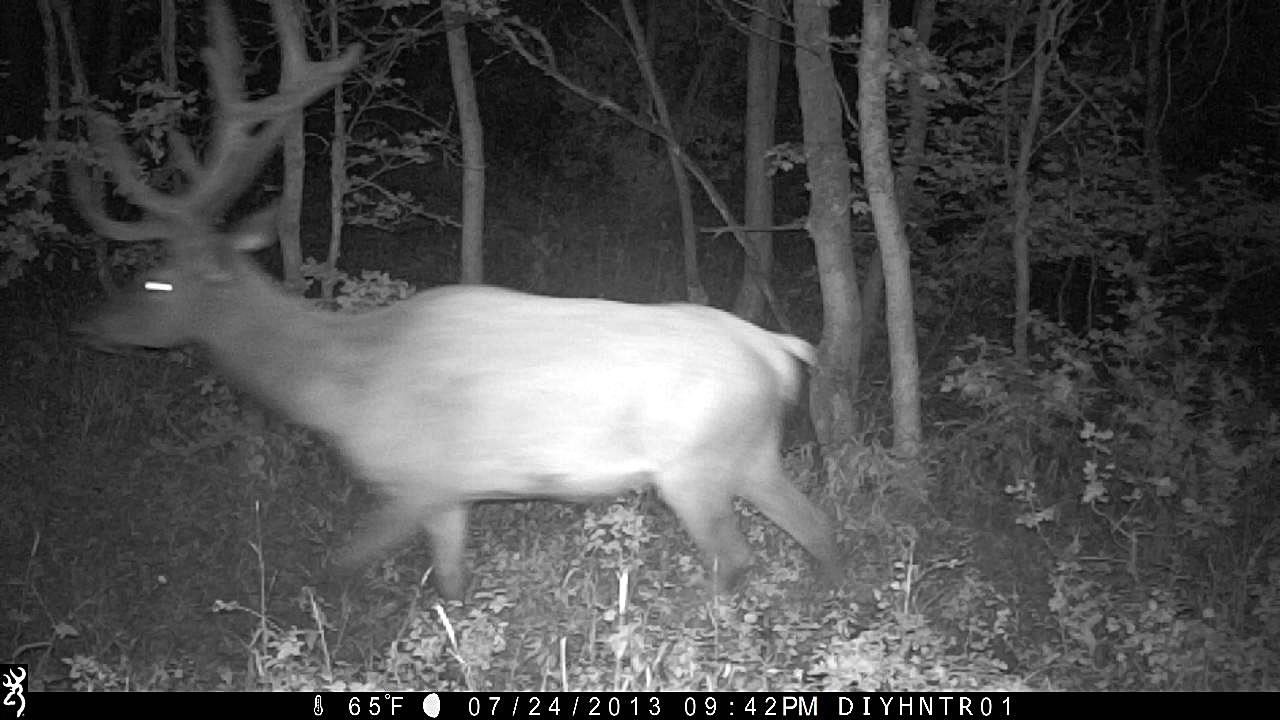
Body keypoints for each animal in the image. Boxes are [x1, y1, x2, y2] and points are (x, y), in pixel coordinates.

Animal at [70, 0, 840, 601]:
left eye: (158, 281)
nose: (90, 324)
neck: (342, 383)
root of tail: (775, 349)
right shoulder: (451, 494)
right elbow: (451, 587)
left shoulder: (415, 480)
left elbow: (336, 568)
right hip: (752, 453)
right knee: (825, 532)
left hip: (696, 464)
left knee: (738, 557)